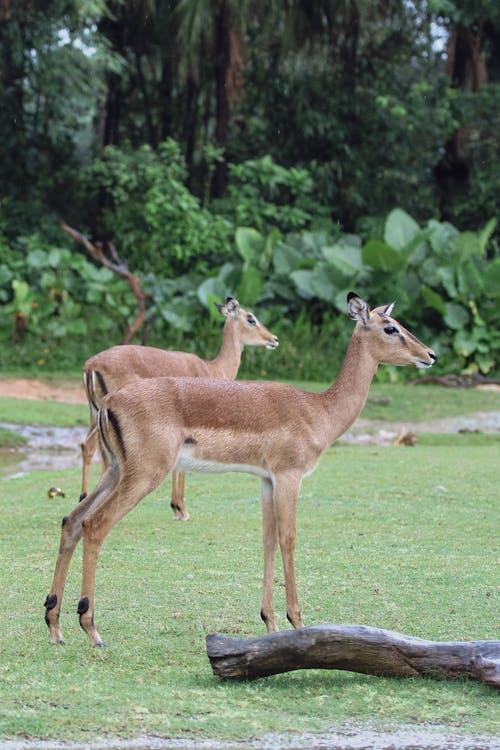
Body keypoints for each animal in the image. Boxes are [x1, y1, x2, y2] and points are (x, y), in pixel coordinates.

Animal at [80, 296, 280, 520]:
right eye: (251, 318)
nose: (274, 339)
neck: (212, 369)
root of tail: (91, 364)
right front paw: (180, 509)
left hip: (95, 415)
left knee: (89, 448)